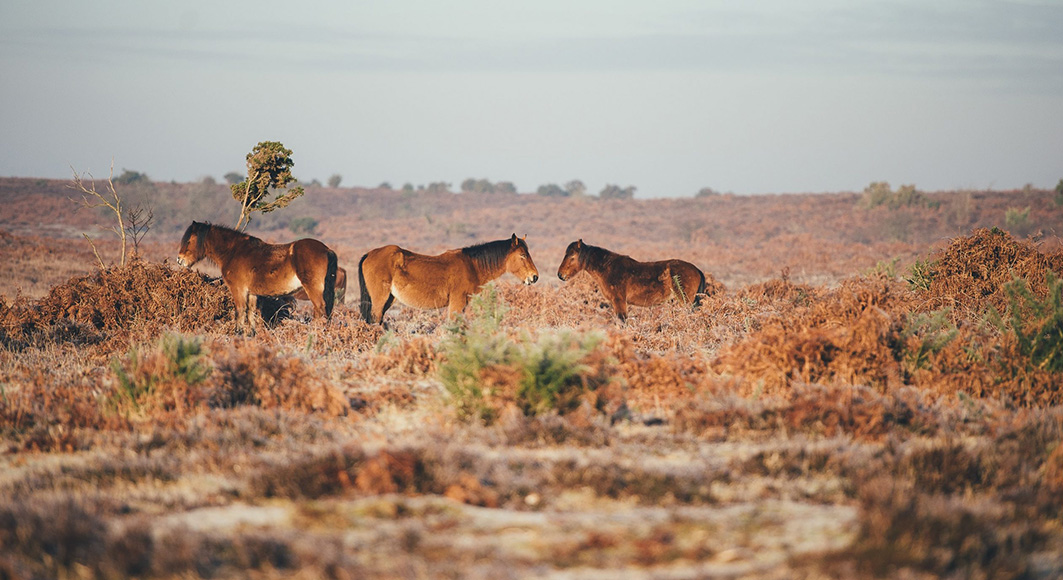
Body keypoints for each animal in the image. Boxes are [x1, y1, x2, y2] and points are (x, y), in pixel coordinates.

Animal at [177, 221, 338, 334]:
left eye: (189, 241)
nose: (180, 260)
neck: (233, 252)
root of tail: (326, 249)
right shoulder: (252, 293)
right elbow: (251, 314)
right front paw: (251, 334)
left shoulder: (238, 290)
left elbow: (240, 311)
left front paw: (238, 334)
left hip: (313, 288)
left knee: (320, 309)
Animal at [358, 234, 539, 324]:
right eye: (523, 255)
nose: (534, 277)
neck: (471, 265)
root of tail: (369, 254)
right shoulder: (457, 303)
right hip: (380, 299)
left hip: (389, 299)